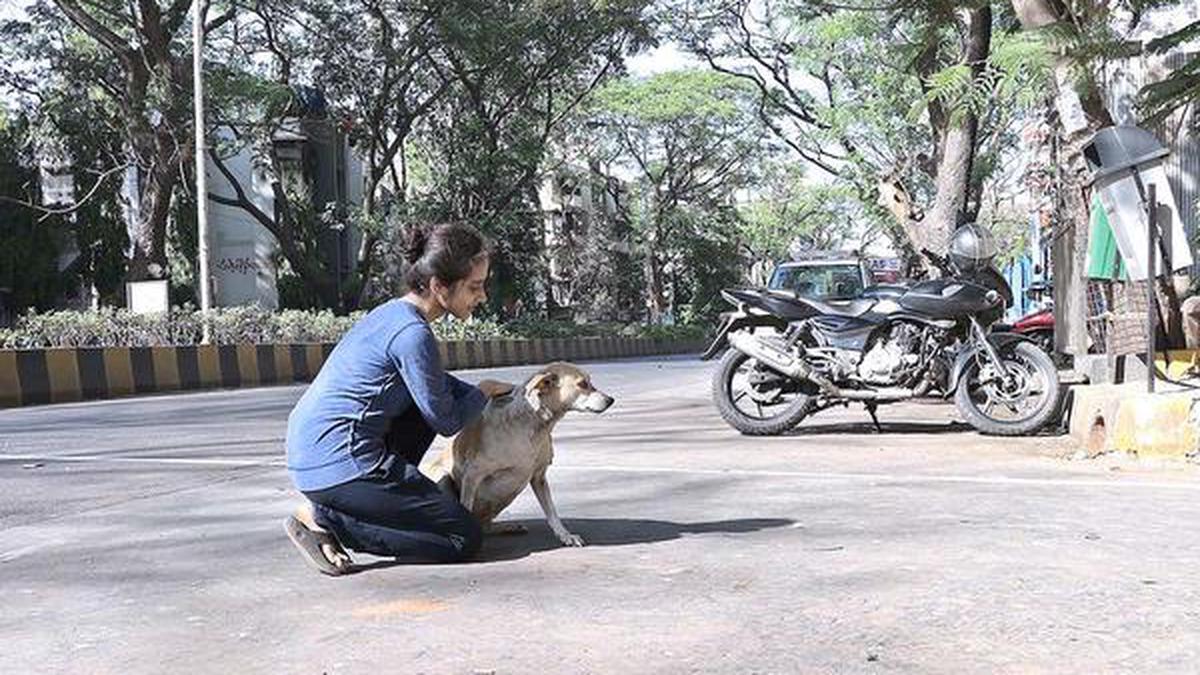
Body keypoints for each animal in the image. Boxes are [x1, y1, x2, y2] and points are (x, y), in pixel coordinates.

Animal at [422, 360, 614, 542]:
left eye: (589, 381)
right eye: (582, 384)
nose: (610, 400)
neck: (534, 427)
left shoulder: (539, 478)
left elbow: (552, 512)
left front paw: (565, 535)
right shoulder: (473, 475)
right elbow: (466, 507)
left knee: (486, 526)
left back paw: (508, 527)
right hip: (443, 476)